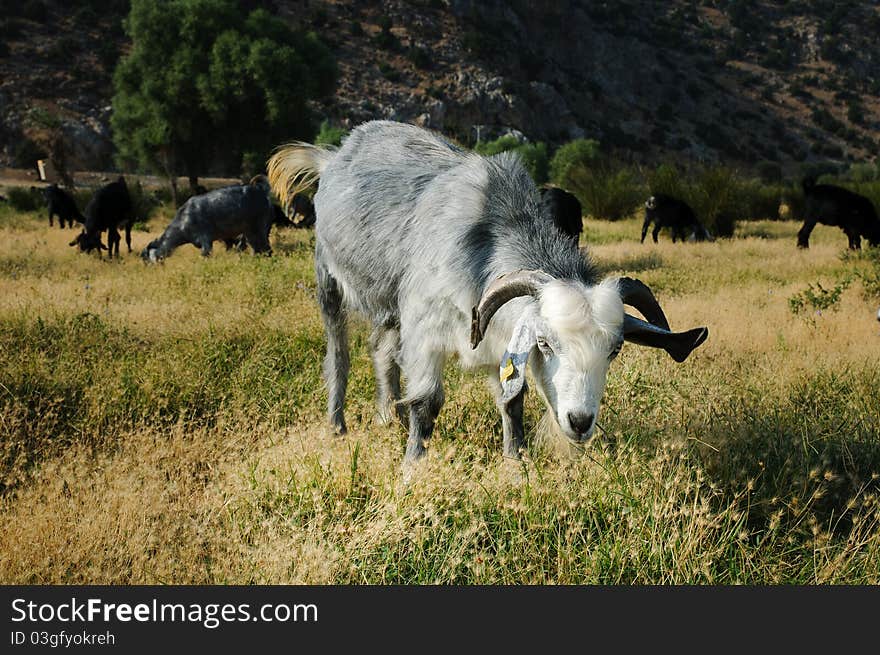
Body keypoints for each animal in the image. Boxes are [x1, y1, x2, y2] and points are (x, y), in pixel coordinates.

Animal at [268, 121, 708, 466]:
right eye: (545, 343)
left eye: (615, 349)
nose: (580, 422)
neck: (487, 236)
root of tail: (332, 157)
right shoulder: (425, 333)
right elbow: (427, 402)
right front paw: (413, 466)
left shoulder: (498, 341)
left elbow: (512, 401)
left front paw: (517, 461)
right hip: (328, 280)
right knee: (338, 355)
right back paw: (338, 426)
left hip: (390, 306)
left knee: (382, 351)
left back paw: (386, 417)